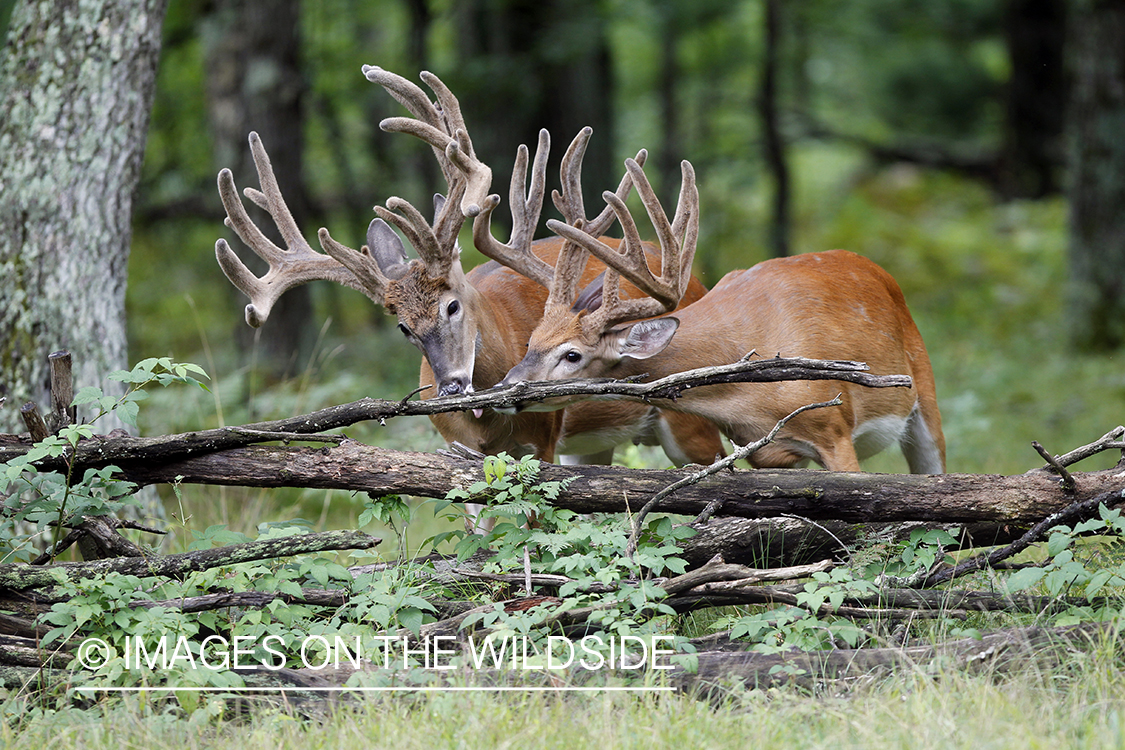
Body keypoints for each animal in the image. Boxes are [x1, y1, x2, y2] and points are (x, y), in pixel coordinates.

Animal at [211, 68, 724, 528]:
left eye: (453, 304)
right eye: (403, 327)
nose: (452, 387)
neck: (487, 425)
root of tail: (696, 283)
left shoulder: (543, 443)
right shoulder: (456, 453)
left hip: (687, 424)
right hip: (593, 443)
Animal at [497, 157, 945, 474]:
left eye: (572, 355)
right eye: (531, 341)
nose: (506, 387)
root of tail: (879, 271)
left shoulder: (835, 430)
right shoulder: (766, 452)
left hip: (924, 392)